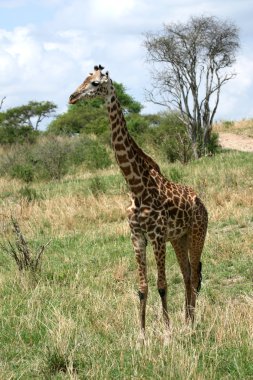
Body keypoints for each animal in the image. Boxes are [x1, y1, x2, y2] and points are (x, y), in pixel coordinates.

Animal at [68, 64, 208, 332]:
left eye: (95, 83)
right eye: (83, 79)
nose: (72, 97)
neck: (136, 188)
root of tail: (203, 204)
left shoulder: (157, 236)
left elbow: (162, 285)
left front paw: (167, 332)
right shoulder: (137, 237)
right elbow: (142, 288)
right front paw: (142, 335)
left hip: (197, 233)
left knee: (195, 274)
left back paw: (191, 325)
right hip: (179, 237)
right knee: (187, 274)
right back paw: (187, 321)